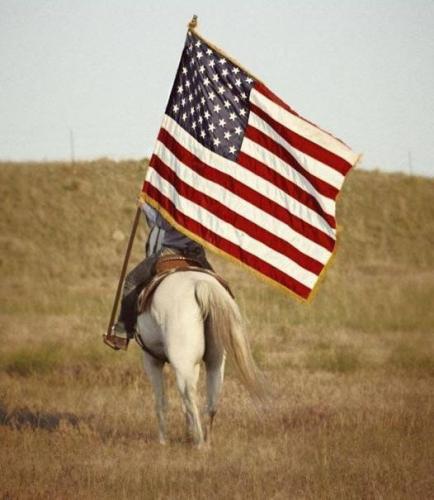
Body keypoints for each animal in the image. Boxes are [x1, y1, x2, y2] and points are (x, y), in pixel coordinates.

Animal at [137, 272, 262, 448]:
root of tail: (199, 285)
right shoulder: (194, 366)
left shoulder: (152, 360)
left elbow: (161, 401)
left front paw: (163, 441)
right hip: (214, 362)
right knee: (211, 398)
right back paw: (205, 442)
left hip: (181, 364)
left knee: (189, 397)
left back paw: (199, 443)